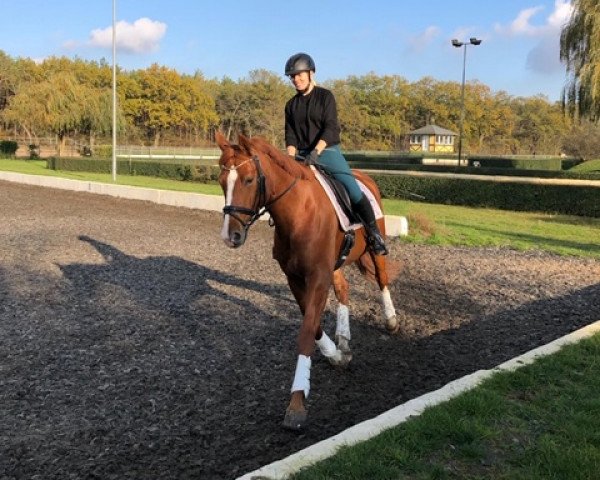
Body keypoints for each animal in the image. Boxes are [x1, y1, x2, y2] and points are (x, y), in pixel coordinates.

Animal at [213, 132, 400, 432]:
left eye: (249, 180)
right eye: (221, 181)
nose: (231, 236)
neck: (298, 212)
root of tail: (365, 178)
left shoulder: (317, 277)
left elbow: (305, 332)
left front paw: (297, 402)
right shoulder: (295, 277)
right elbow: (312, 325)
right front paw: (336, 355)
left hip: (375, 247)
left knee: (381, 278)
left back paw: (391, 320)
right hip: (335, 263)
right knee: (343, 289)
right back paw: (344, 337)